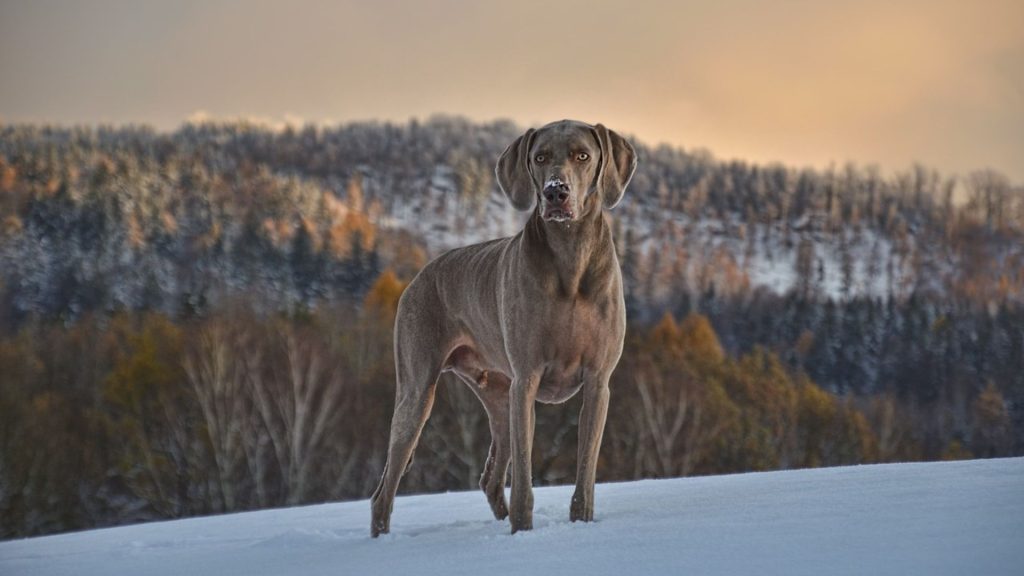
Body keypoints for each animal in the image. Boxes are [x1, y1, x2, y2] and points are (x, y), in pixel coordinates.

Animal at [372, 119, 634, 532]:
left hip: (498, 396)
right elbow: (525, 481)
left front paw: (580, 522)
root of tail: (417, 277)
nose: (555, 191)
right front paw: (523, 530)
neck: (570, 257)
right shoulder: (527, 380)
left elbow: (585, 477)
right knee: (384, 491)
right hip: (419, 391)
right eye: (540, 157)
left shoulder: (597, 382)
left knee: (490, 479)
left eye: (583, 156)